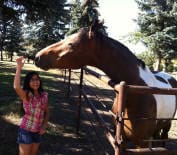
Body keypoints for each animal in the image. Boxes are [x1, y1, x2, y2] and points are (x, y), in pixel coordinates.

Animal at [34, 20, 177, 148]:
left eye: (71, 44)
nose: (37, 57)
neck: (136, 92)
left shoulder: (141, 143)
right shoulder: (122, 141)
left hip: (166, 126)